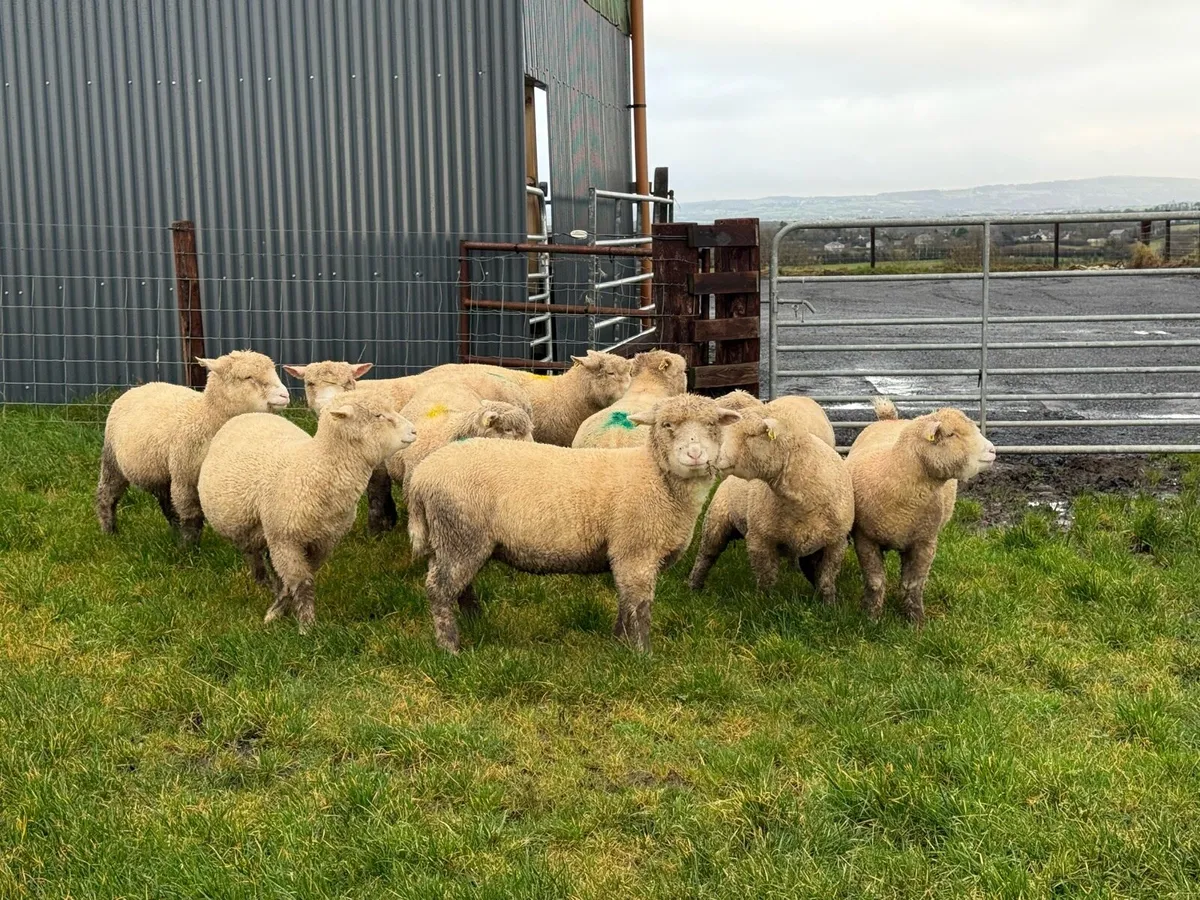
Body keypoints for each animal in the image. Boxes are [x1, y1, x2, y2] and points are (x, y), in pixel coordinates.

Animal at [96, 350, 291, 543]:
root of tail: (140, 387)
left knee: (166, 502)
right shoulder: (185, 477)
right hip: (113, 460)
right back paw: (109, 531)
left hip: (161, 473)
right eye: (247, 377)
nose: (285, 395)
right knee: (107, 494)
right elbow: (192, 516)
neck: (205, 418)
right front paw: (189, 547)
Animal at [197, 391, 417, 632]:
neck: (312, 468)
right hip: (245, 530)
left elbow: (301, 578)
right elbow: (302, 582)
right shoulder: (284, 539)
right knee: (255, 561)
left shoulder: (324, 541)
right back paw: (265, 584)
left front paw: (282, 609)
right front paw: (304, 626)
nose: (414, 431)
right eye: (378, 415)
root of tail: (250, 414)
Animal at [406, 394, 741, 653]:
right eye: (666, 425)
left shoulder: (624, 554)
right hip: (461, 534)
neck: (656, 478)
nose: (694, 454)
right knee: (439, 590)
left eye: (712, 425)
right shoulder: (636, 551)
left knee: (459, 586)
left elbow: (625, 601)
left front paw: (618, 643)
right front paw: (642, 654)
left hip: (451, 539)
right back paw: (450, 647)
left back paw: (475, 620)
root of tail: (422, 476)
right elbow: (640, 606)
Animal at [689, 407, 854, 604]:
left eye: (751, 434)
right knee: (706, 556)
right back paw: (693, 587)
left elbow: (826, 579)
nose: (709, 457)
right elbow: (766, 579)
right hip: (716, 522)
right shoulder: (760, 539)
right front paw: (765, 603)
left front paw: (829, 604)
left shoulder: (836, 543)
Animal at [846, 397, 996, 625]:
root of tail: (889, 419)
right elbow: (875, 581)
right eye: (952, 434)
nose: (993, 450)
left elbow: (913, 584)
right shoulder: (864, 538)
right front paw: (871, 617)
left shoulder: (925, 541)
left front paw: (915, 621)